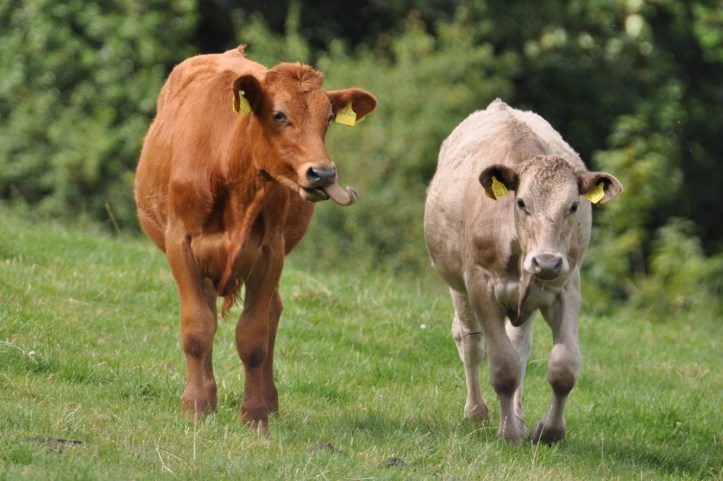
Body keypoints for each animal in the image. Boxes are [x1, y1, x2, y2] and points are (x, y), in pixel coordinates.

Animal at [134, 45, 376, 431]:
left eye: (327, 120)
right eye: (279, 115)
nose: (323, 174)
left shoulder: (269, 252)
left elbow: (254, 336)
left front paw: (257, 414)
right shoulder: (180, 244)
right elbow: (197, 328)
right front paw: (197, 406)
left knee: (272, 314)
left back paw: (270, 400)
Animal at [423, 99, 622, 444]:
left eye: (573, 206)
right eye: (521, 202)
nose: (546, 261)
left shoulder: (566, 286)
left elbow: (563, 367)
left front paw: (548, 430)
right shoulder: (480, 285)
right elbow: (503, 368)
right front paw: (509, 434)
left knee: (519, 347)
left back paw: (517, 415)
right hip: (457, 284)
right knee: (469, 340)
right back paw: (477, 412)